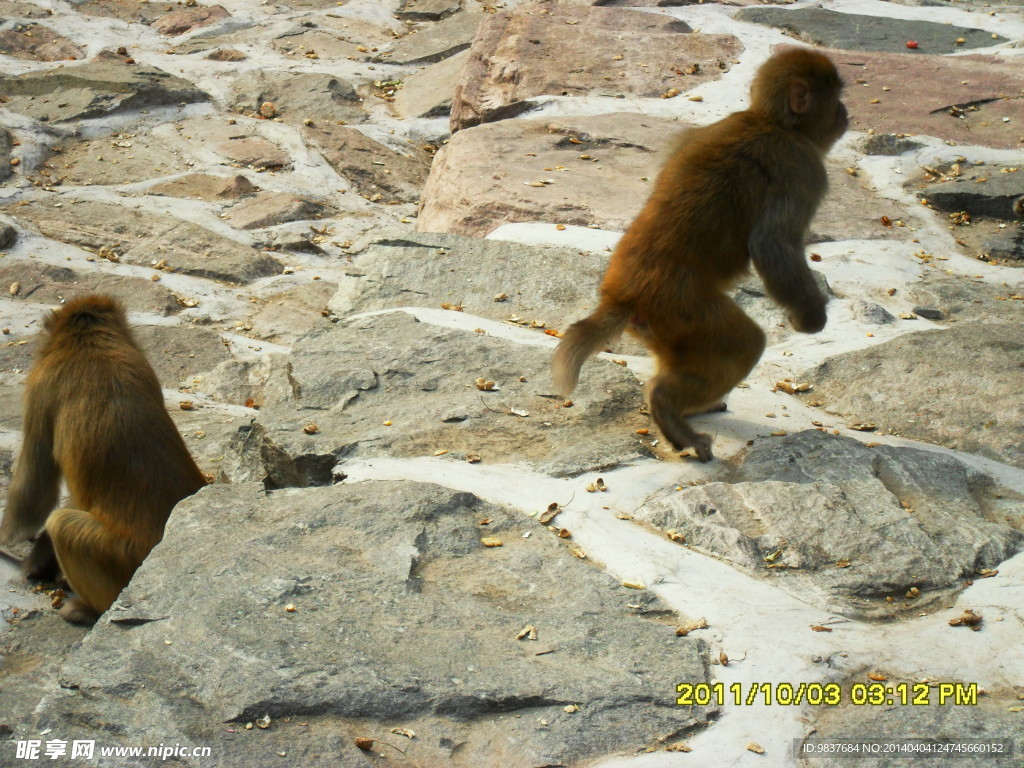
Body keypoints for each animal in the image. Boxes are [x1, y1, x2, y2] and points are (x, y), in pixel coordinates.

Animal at [0, 294, 207, 626]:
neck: (89, 342)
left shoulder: (40, 386)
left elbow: (34, 493)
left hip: (115, 558)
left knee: (62, 523)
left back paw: (89, 609)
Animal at [552, 49, 847, 462]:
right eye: (835, 98)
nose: (845, 112)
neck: (769, 120)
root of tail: (622, 296)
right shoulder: (802, 167)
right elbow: (772, 245)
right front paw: (810, 318)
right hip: (687, 313)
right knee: (744, 343)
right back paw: (668, 409)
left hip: (660, 327)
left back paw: (682, 409)